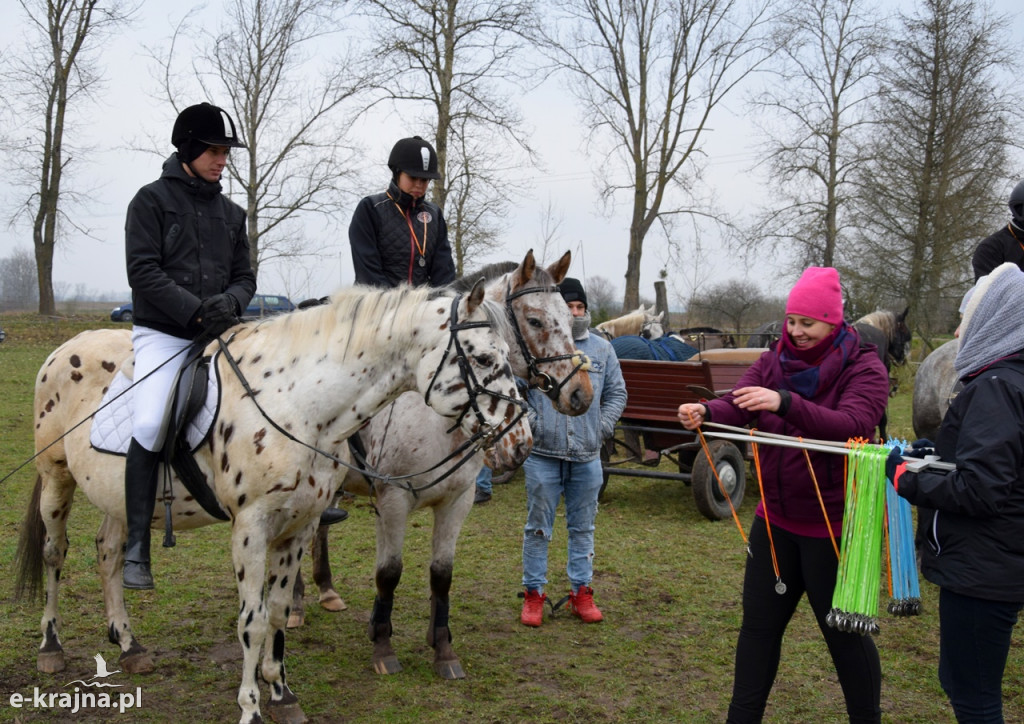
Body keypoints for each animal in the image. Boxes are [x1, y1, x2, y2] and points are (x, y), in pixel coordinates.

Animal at [16, 282, 532, 724]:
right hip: (56, 479)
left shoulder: (299, 525)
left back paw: (128, 644)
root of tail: (65, 347)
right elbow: (253, 619)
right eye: (484, 357)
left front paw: (281, 693)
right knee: (54, 554)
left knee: (107, 552)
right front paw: (251, 707)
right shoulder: (253, 528)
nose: (522, 439)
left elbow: (280, 610)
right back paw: (50, 647)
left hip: (116, 496)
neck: (298, 403)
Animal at [286, 250, 593, 679]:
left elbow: (441, 575)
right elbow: (389, 574)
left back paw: (327, 591)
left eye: (570, 317)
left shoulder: (457, 501)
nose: (581, 395)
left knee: (319, 530)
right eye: (534, 321)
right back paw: (295, 606)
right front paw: (383, 645)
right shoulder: (393, 501)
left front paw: (443, 649)